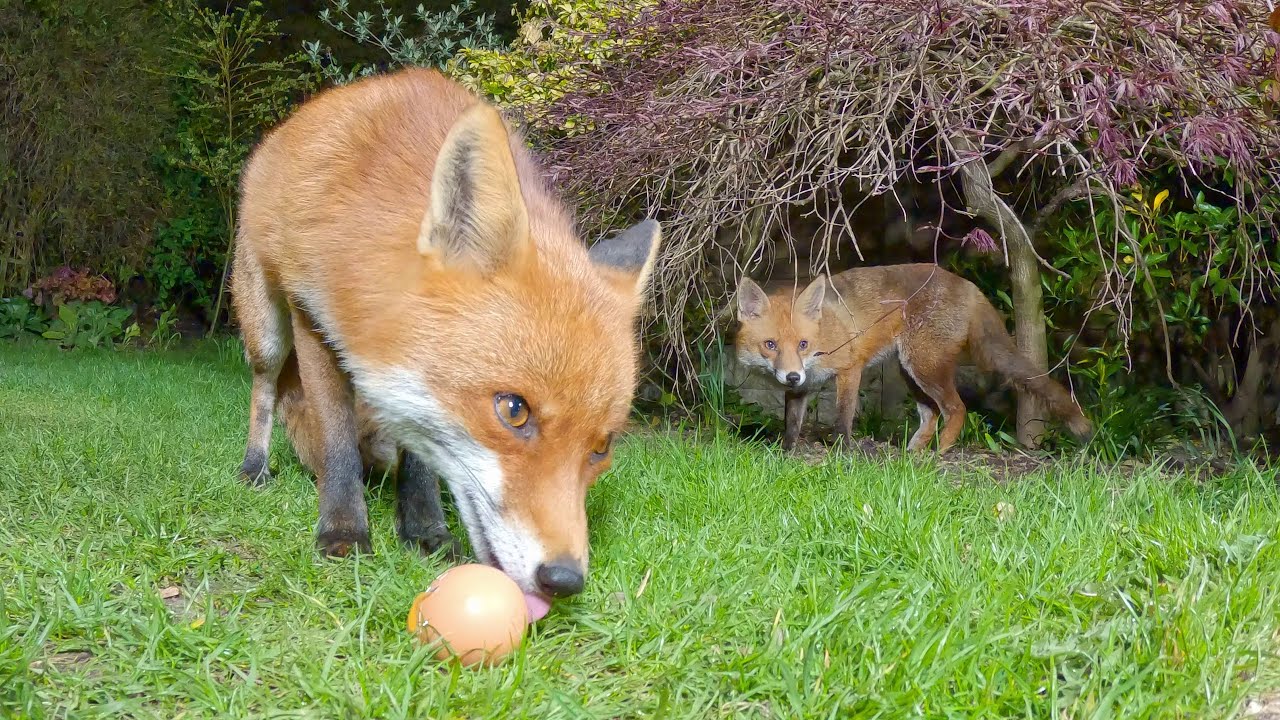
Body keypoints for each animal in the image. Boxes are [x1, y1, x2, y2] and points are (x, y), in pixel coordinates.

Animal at [230, 67, 661, 621]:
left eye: (601, 447)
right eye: (514, 410)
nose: (565, 580)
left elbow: (420, 456)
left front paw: (425, 531)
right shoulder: (312, 318)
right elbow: (337, 441)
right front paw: (344, 531)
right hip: (267, 326)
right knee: (264, 388)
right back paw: (255, 466)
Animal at [734, 264, 1092, 454]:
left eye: (803, 344)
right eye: (770, 345)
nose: (792, 375)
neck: (824, 336)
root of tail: (965, 283)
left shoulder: (850, 367)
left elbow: (843, 416)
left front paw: (845, 451)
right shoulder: (801, 389)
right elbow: (792, 423)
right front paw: (787, 452)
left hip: (924, 366)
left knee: (956, 409)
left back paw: (940, 452)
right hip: (909, 371)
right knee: (931, 414)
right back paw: (913, 453)